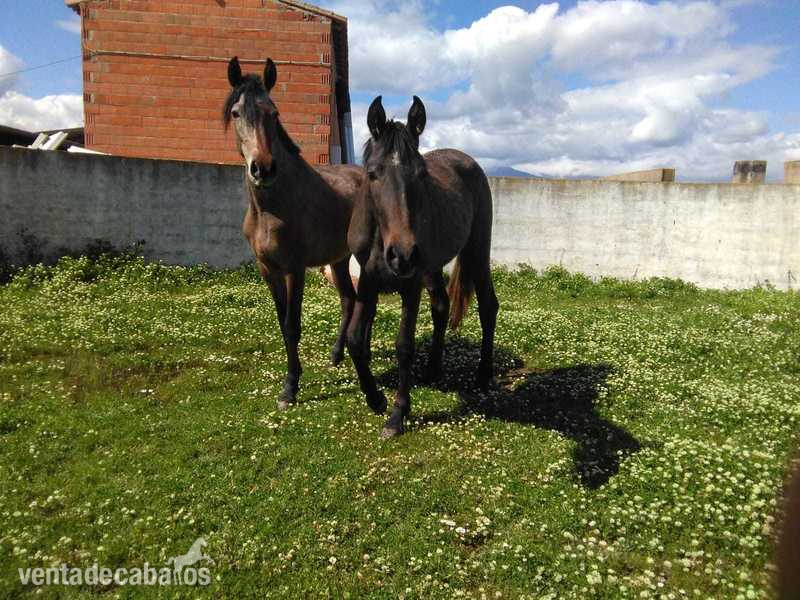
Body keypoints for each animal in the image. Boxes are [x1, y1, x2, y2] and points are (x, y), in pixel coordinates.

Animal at [223, 56, 364, 410]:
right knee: (348, 298)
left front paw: (290, 387)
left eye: (274, 113)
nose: (263, 168)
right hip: (339, 258)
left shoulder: (294, 269)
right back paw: (336, 355)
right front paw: (292, 382)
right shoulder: (267, 270)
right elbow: (281, 321)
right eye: (236, 113)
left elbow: (292, 325)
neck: (272, 206)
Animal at [346, 95, 499, 439]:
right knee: (441, 306)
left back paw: (483, 374)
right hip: (431, 268)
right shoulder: (368, 283)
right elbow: (355, 340)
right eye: (372, 173)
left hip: (475, 252)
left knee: (488, 306)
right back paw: (432, 368)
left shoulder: (411, 285)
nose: (402, 255)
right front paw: (375, 398)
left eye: (422, 174)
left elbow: (404, 346)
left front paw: (397, 414)